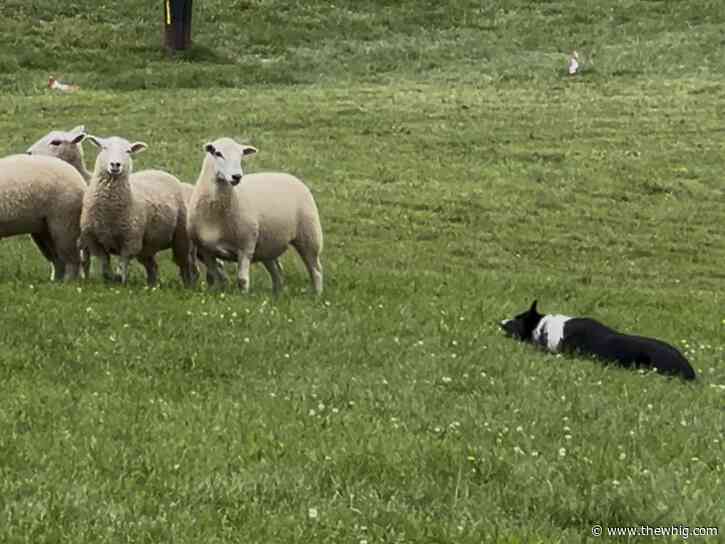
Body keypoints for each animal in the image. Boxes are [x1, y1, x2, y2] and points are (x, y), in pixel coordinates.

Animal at [79, 135, 194, 287]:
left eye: (128, 151)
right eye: (104, 147)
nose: (115, 165)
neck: (109, 213)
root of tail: (159, 171)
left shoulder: (130, 241)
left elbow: (122, 268)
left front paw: (121, 283)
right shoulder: (95, 241)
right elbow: (105, 268)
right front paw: (109, 281)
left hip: (181, 236)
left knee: (185, 264)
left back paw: (189, 285)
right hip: (147, 245)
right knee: (152, 266)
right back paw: (152, 286)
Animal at [187, 137, 323, 294]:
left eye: (241, 155)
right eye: (218, 153)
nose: (237, 176)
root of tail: (289, 176)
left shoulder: (246, 245)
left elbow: (242, 280)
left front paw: (244, 297)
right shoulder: (206, 250)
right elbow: (214, 277)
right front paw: (217, 293)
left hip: (309, 235)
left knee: (315, 269)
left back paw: (317, 295)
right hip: (268, 244)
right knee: (277, 271)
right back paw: (277, 295)